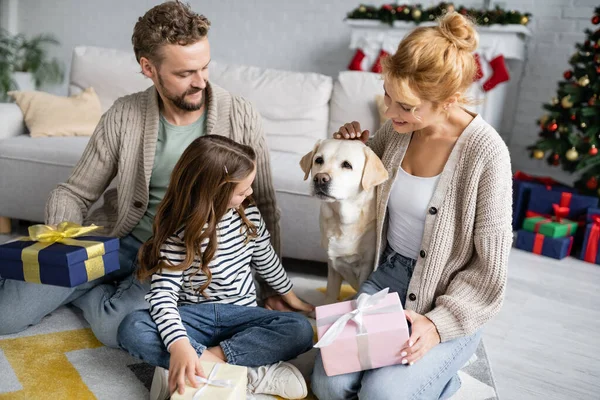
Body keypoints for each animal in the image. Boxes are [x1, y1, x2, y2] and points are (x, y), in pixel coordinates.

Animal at [300, 138, 390, 304]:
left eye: (347, 165)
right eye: (318, 160)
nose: (320, 179)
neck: (340, 220)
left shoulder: (366, 266)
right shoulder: (333, 266)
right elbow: (330, 295)